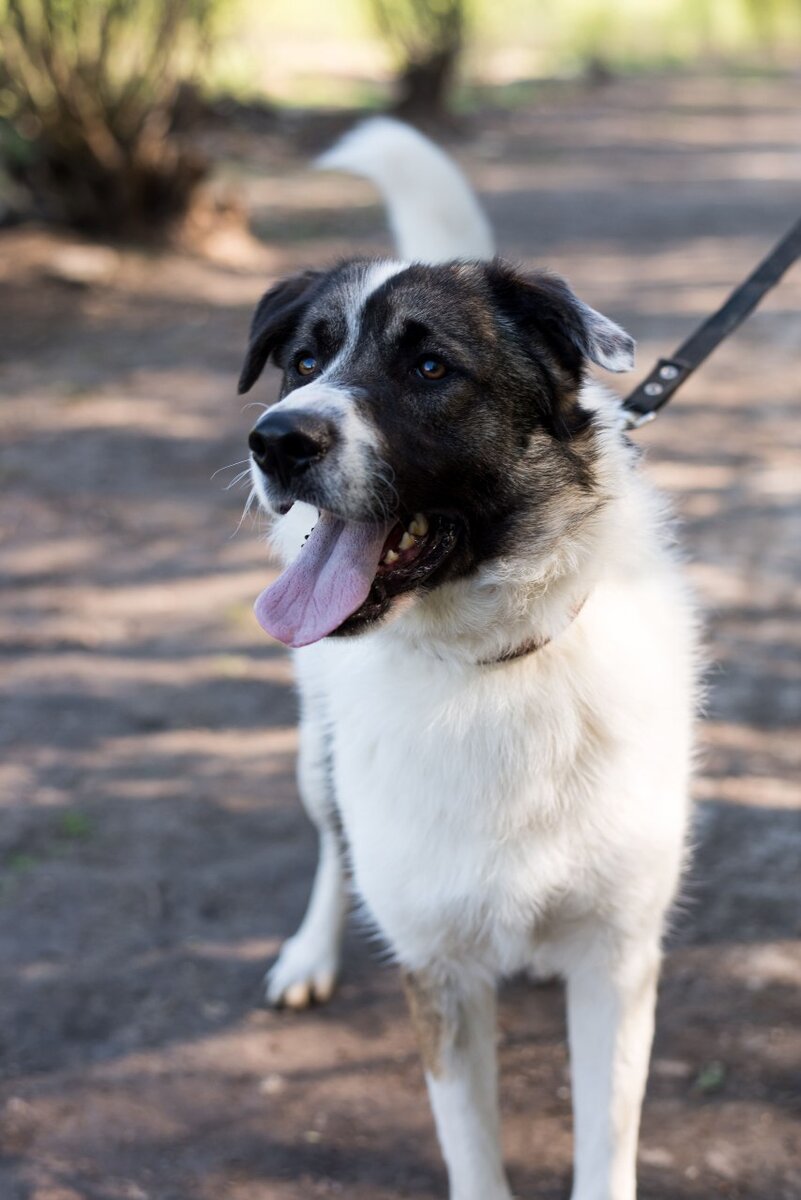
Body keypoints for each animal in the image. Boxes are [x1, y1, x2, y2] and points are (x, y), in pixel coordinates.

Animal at [237, 119, 695, 1200]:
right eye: (304, 360)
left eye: (432, 368)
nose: (275, 441)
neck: (487, 659)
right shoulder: (438, 970)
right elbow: (471, 1150)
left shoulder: (616, 955)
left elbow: (605, 1143)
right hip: (314, 758)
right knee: (332, 844)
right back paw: (309, 952)